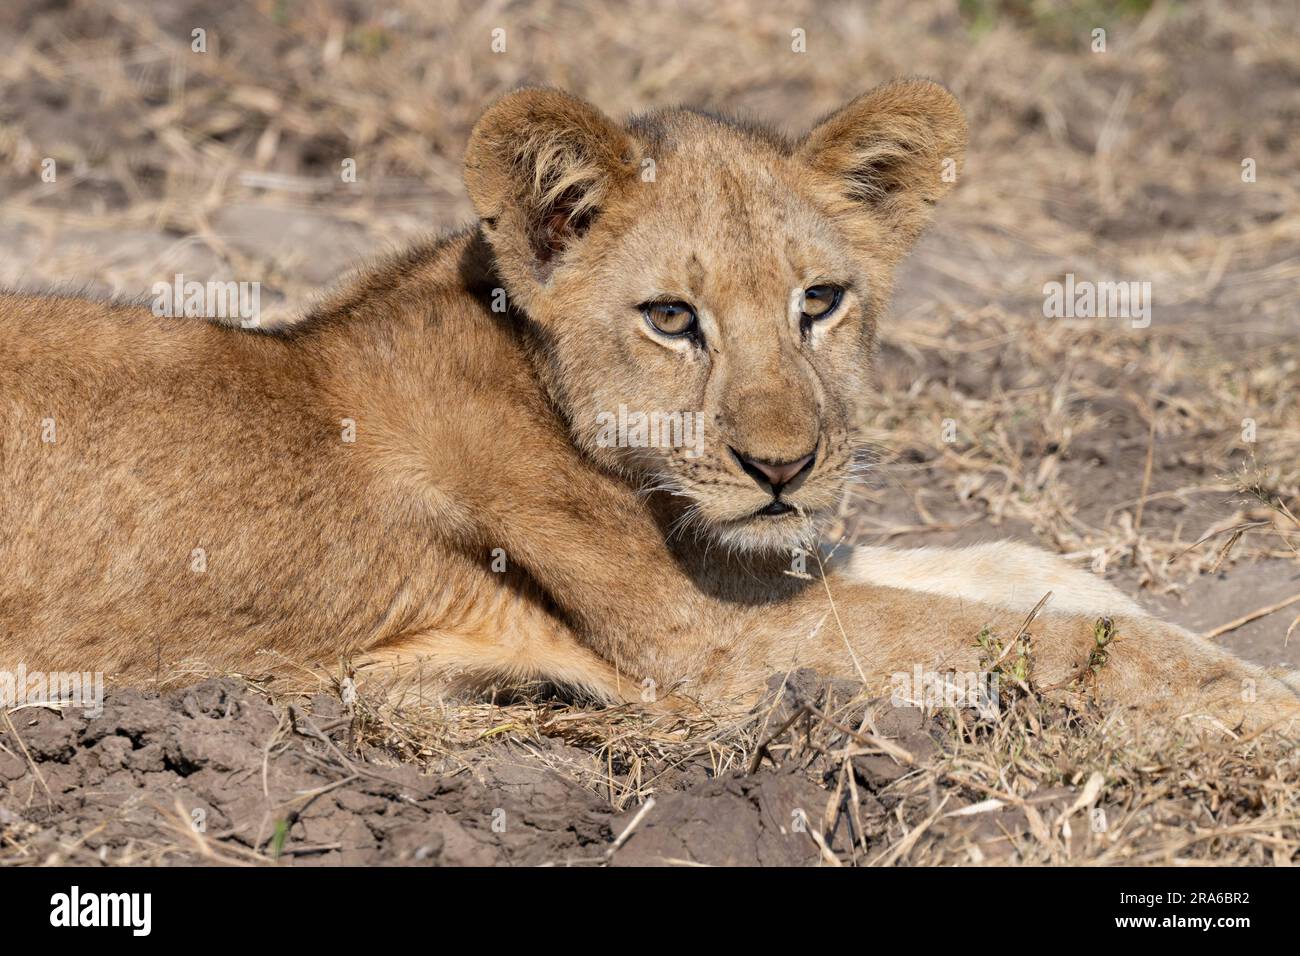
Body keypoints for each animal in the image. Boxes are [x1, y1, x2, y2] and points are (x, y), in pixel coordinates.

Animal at [1, 80, 1295, 731]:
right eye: (672, 317)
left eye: (819, 301)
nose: (784, 465)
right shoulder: (703, 647)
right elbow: (1019, 636)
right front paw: (1254, 699)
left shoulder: (732, 561)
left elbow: (996, 567)